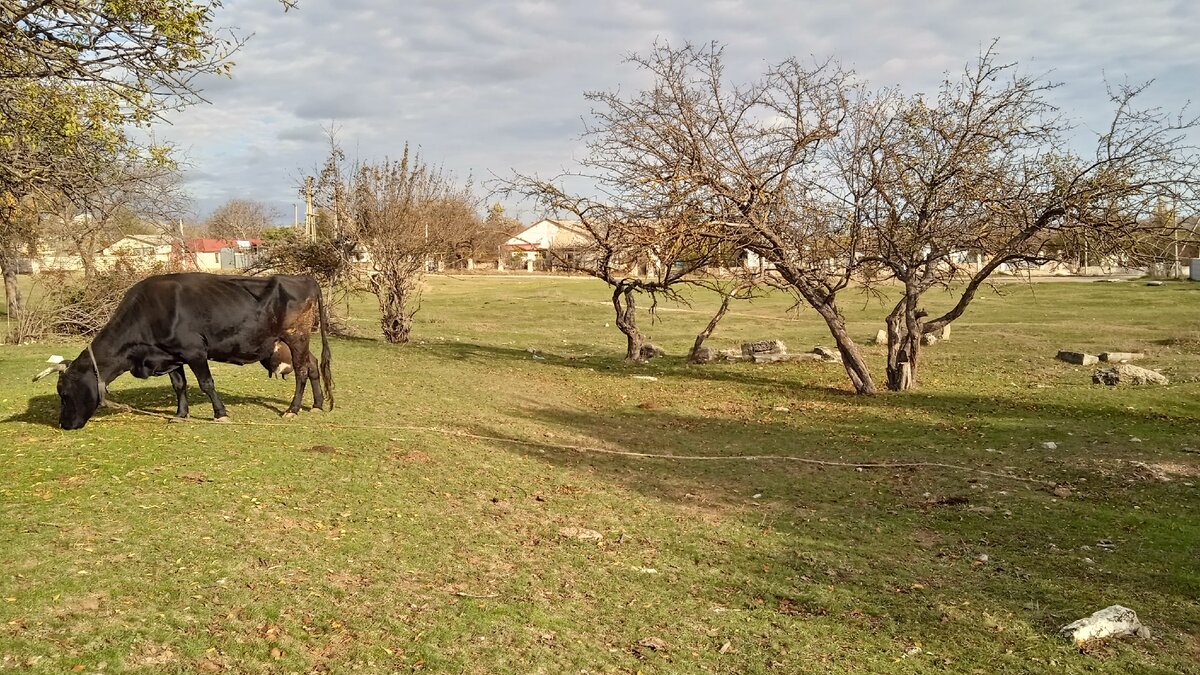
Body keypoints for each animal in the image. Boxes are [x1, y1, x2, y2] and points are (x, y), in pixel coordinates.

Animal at [34, 270, 333, 427]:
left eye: (64, 393)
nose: (63, 424)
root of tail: (303, 279)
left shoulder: (194, 352)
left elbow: (206, 383)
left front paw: (220, 414)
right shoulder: (170, 355)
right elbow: (179, 385)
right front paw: (180, 414)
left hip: (296, 336)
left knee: (301, 371)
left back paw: (293, 409)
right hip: (296, 341)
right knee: (312, 365)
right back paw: (317, 405)